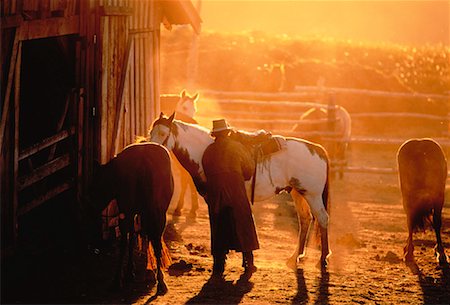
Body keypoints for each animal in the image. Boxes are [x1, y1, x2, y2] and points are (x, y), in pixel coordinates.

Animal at [89, 142, 173, 294]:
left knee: (131, 241)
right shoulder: (138, 213)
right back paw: (159, 281)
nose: (90, 211)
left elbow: (131, 238)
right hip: (156, 213)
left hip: (135, 213)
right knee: (155, 241)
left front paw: (129, 273)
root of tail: (143, 160)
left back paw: (118, 281)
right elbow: (139, 237)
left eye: (93, 189)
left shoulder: (128, 212)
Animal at [149, 111, 332, 266]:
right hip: (298, 192)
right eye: (151, 132)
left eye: (163, 134)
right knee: (305, 220)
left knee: (322, 219)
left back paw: (322, 259)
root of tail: (318, 149)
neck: (204, 149)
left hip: (312, 195)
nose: (154, 150)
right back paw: (295, 257)